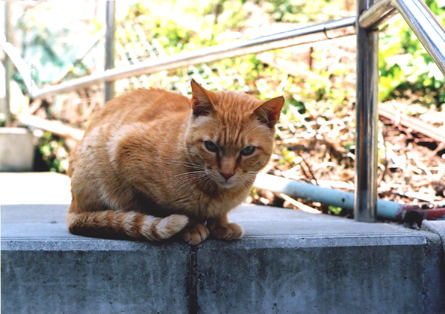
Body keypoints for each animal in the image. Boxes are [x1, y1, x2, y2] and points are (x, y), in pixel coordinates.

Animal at [67, 79, 280, 245]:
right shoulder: (124, 151)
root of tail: (73, 207)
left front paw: (221, 225)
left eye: (247, 150)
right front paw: (191, 227)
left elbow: (219, 215)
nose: (226, 173)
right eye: (211, 146)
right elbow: (165, 207)